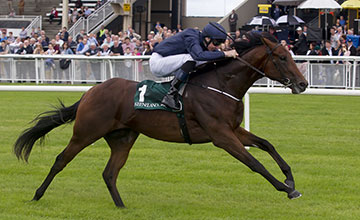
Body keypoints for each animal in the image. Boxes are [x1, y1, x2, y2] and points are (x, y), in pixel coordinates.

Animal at [13, 31, 306, 208]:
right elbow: (255, 163)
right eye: (282, 57)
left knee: (110, 173)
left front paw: (291, 180)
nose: (302, 84)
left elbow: (267, 144)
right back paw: (37, 195)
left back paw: (122, 207)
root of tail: (90, 92)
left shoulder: (234, 129)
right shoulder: (221, 135)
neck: (221, 84)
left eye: (292, 55)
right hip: (86, 132)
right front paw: (286, 188)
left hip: (123, 138)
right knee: (61, 160)